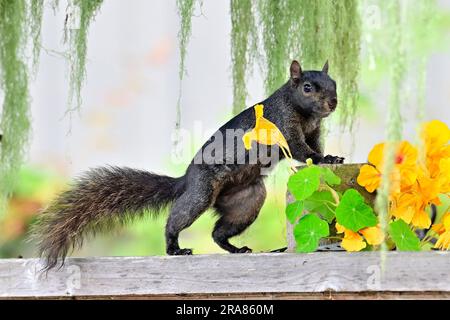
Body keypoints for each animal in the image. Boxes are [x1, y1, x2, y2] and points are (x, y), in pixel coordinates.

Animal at [31, 60, 344, 270]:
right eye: (307, 87)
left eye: (334, 84)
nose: (333, 102)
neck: (306, 114)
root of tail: (186, 179)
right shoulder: (284, 126)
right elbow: (302, 150)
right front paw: (325, 159)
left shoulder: (314, 132)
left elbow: (314, 148)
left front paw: (330, 157)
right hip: (201, 194)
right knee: (175, 220)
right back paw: (175, 248)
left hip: (247, 200)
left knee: (218, 233)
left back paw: (235, 249)